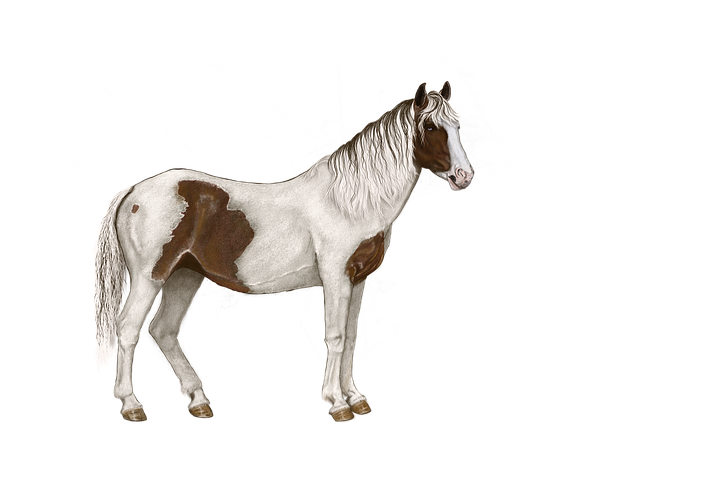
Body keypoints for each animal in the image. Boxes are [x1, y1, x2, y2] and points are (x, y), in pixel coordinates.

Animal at [93, 80, 475, 423]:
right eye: (430, 126)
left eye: (458, 122)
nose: (465, 176)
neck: (351, 201)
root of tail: (132, 194)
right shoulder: (336, 277)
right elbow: (336, 337)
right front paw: (338, 405)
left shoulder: (357, 280)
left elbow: (351, 337)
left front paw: (355, 399)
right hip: (150, 277)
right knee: (129, 329)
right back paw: (131, 406)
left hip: (184, 276)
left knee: (163, 331)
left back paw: (200, 403)